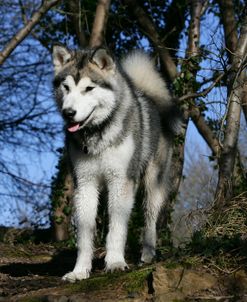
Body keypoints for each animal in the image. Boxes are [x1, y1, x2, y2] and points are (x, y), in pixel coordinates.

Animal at [52, 44, 179, 284]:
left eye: (89, 88)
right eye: (66, 87)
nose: (68, 113)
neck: (97, 134)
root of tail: (148, 97)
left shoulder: (120, 182)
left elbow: (117, 228)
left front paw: (115, 263)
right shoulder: (85, 184)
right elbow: (85, 234)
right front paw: (80, 271)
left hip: (153, 184)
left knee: (150, 219)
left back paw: (147, 254)